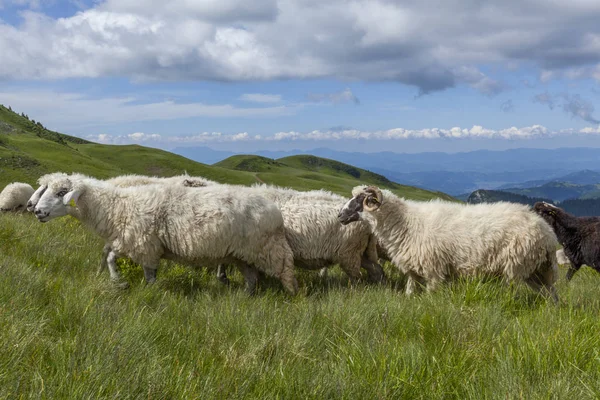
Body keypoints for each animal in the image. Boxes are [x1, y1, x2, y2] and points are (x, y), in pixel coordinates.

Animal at [31, 173, 298, 296]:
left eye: (62, 192)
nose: (37, 211)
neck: (116, 206)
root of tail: (274, 210)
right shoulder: (129, 241)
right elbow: (109, 256)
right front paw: (116, 280)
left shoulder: (144, 244)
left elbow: (140, 271)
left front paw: (137, 287)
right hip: (242, 254)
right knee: (252, 277)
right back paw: (244, 297)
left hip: (269, 249)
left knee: (286, 271)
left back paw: (293, 297)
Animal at [212, 184, 384, 284]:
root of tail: (368, 222)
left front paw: (222, 276)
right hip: (357, 252)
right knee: (377, 269)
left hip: (349, 253)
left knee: (358, 277)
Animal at [340, 184, 560, 300]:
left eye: (360, 200)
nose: (340, 215)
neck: (406, 223)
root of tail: (547, 232)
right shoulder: (414, 271)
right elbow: (410, 292)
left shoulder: (433, 269)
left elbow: (431, 293)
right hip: (536, 269)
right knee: (551, 294)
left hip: (516, 265)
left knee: (514, 291)